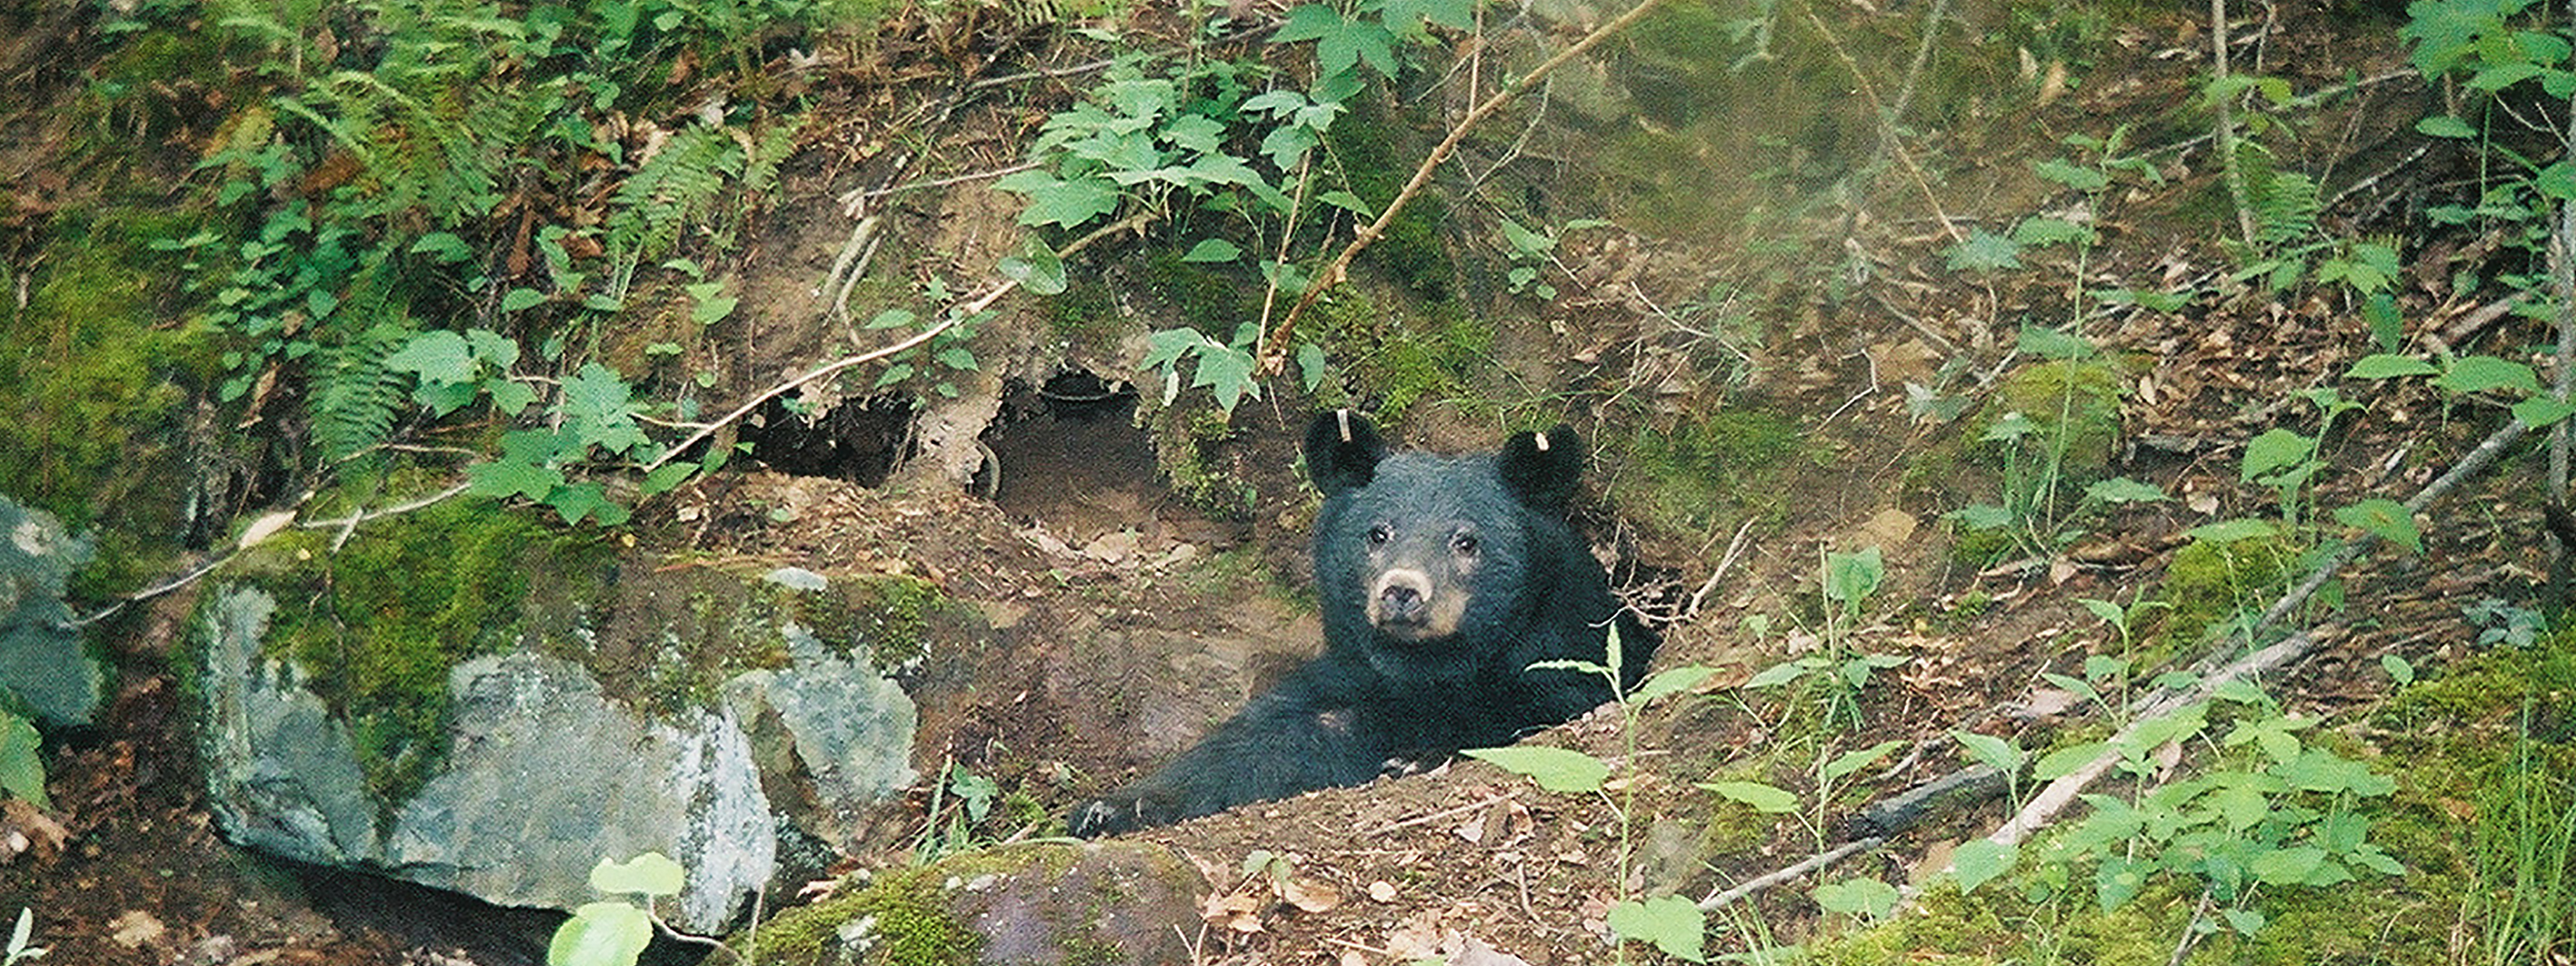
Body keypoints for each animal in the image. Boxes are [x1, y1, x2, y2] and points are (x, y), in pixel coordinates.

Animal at [1061, 410, 1649, 840]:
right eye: (1377, 533)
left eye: (1466, 541)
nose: (1402, 591)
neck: (1429, 667)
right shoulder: (1346, 678)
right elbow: (1252, 746)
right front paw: (1111, 807)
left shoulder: (1566, 655)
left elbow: (1532, 712)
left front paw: (1416, 756)